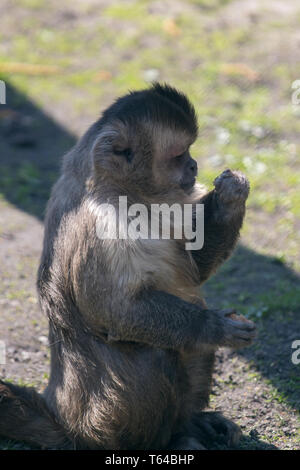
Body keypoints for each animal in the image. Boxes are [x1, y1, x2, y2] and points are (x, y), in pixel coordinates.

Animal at [0, 82, 255, 450]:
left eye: (189, 152)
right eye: (178, 155)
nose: (194, 165)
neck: (122, 192)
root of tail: (66, 419)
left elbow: (196, 268)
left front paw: (231, 195)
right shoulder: (101, 224)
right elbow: (115, 312)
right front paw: (214, 326)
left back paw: (190, 424)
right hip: (106, 420)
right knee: (158, 353)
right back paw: (166, 442)